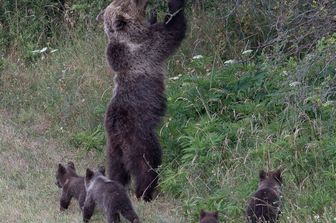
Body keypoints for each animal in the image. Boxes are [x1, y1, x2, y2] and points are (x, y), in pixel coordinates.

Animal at [96, 0, 186, 202]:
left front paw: (153, 15)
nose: (146, 2)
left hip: (113, 146)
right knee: (147, 164)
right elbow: (173, 30)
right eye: (131, 2)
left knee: (116, 167)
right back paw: (145, 193)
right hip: (140, 136)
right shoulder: (149, 46)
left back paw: (117, 184)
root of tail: (117, 129)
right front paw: (174, 7)